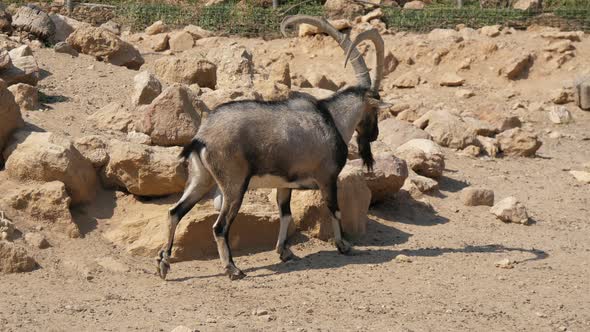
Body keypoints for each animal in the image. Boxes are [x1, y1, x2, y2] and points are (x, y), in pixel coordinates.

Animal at [158, 15, 388, 280]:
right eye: (374, 111)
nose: (375, 134)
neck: (332, 119)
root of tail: (202, 138)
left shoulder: (285, 183)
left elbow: (285, 213)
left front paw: (284, 252)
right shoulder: (327, 177)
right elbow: (334, 209)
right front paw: (344, 246)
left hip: (201, 178)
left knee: (175, 212)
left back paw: (163, 264)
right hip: (234, 185)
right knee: (219, 226)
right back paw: (232, 269)